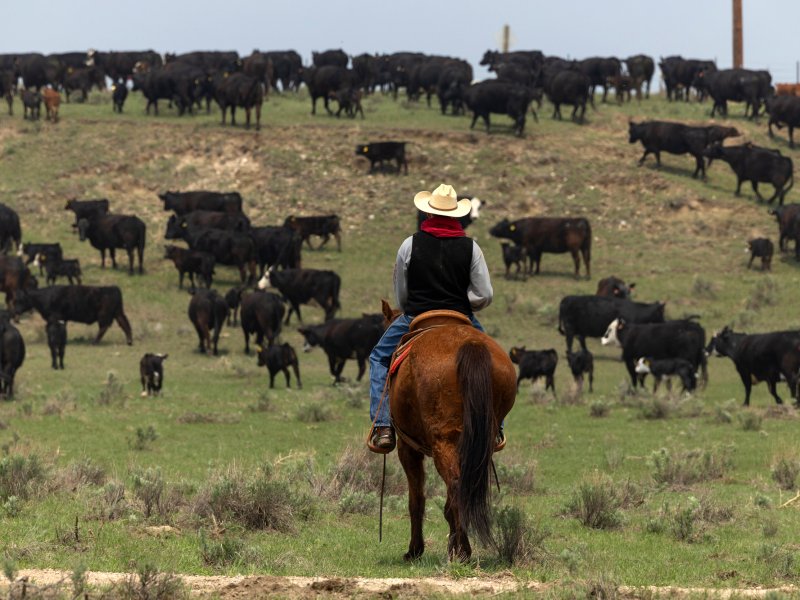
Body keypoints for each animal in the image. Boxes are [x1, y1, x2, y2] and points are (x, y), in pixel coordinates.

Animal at [382, 302, 520, 560]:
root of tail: (469, 345)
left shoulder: (408, 448)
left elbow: (416, 499)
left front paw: (414, 550)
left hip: (443, 441)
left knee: (456, 485)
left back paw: (463, 549)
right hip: (477, 441)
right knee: (463, 486)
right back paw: (461, 547)